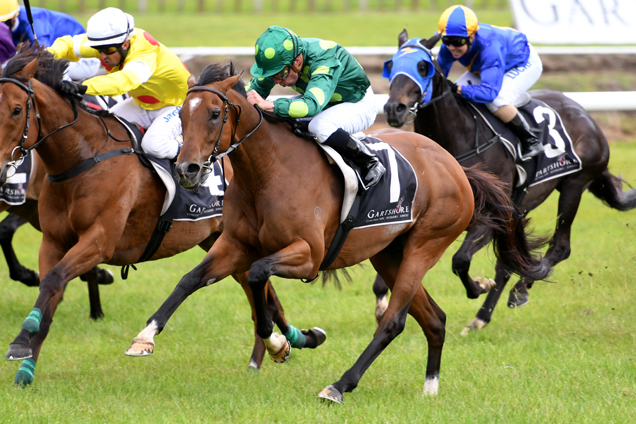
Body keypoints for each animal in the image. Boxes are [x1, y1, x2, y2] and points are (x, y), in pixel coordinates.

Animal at [380, 30, 636, 334]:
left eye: (422, 67)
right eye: (391, 65)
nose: (393, 109)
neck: (460, 136)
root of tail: (587, 115)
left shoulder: (488, 217)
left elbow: (460, 260)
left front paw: (477, 286)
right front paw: (382, 301)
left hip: (573, 185)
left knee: (559, 247)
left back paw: (519, 291)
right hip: (525, 205)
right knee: (509, 261)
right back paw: (482, 316)